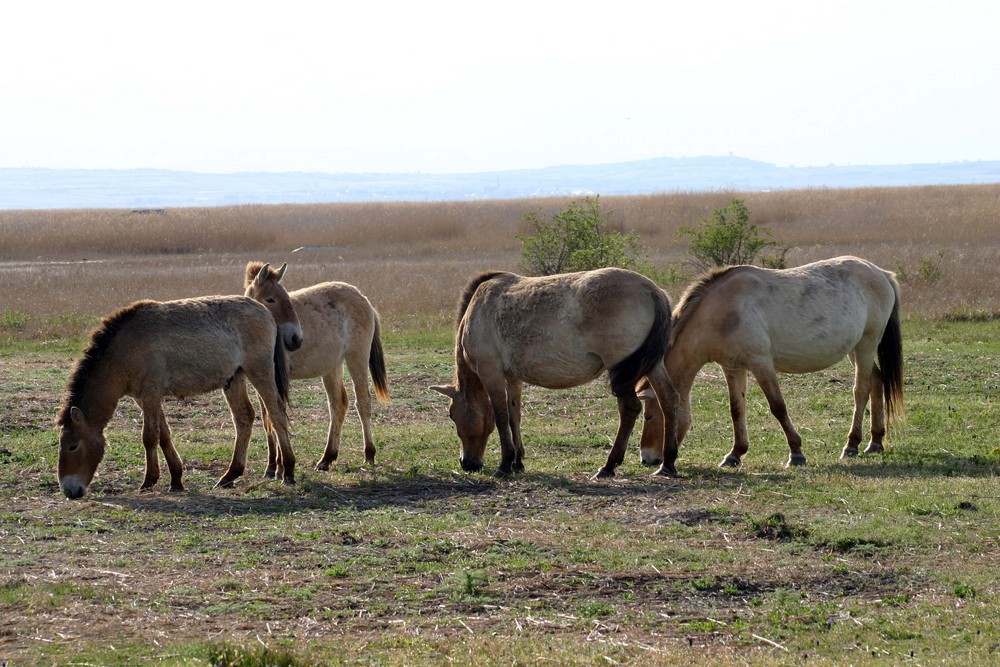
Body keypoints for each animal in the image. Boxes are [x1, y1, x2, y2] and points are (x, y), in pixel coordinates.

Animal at [56, 294, 294, 498]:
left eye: (72, 446)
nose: (69, 490)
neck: (125, 348)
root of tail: (264, 311)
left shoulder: (151, 394)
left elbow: (149, 436)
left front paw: (149, 480)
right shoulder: (143, 398)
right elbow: (164, 435)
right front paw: (176, 479)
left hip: (260, 371)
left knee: (276, 414)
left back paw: (288, 470)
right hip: (234, 378)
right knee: (244, 418)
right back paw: (230, 475)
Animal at [244, 258, 392, 472]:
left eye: (286, 297)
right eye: (270, 299)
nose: (296, 339)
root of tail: (363, 299)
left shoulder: (277, 379)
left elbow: (276, 414)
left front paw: (280, 466)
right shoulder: (261, 378)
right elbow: (268, 418)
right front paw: (272, 466)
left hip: (357, 358)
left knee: (362, 401)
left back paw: (369, 454)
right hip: (332, 367)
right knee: (338, 405)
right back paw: (327, 458)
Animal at [430, 268, 680, 480]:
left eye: (452, 415)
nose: (467, 464)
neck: (478, 310)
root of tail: (651, 290)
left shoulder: (490, 372)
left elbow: (501, 417)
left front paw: (505, 465)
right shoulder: (513, 378)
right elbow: (513, 416)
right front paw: (518, 461)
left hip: (620, 367)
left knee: (630, 409)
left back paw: (608, 466)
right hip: (653, 365)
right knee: (668, 400)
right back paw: (667, 463)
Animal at [636, 253, 904, 472]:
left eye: (649, 416)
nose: (646, 458)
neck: (722, 312)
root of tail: (882, 274)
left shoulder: (761, 363)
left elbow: (778, 406)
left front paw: (796, 453)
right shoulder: (732, 367)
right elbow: (736, 409)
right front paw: (734, 455)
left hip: (867, 344)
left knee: (861, 390)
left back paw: (852, 445)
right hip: (855, 349)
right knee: (877, 380)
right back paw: (875, 441)